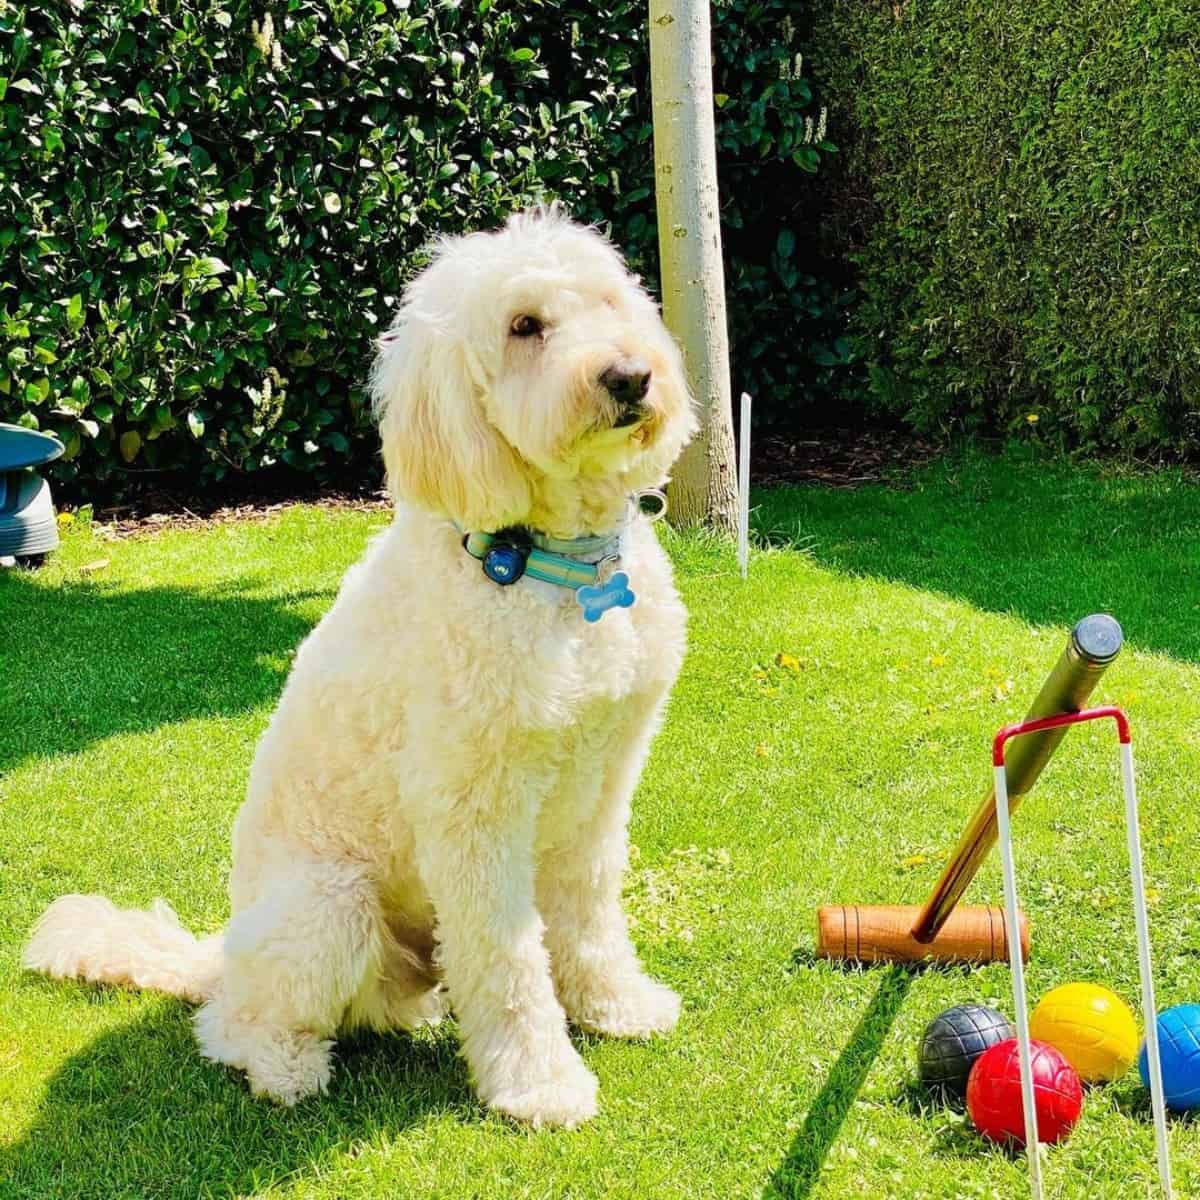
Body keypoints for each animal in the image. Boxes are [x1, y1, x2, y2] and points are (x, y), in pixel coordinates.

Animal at [25, 211, 696, 1128]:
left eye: (608, 301)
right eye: (524, 326)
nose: (631, 376)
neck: (556, 570)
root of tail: (219, 953)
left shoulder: (600, 785)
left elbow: (590, 912)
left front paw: (616, 1005)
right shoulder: (472, 809)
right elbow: (509, 957)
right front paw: (539, 1082)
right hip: (329, 908)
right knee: (231, 1023)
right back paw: (286, 1068)